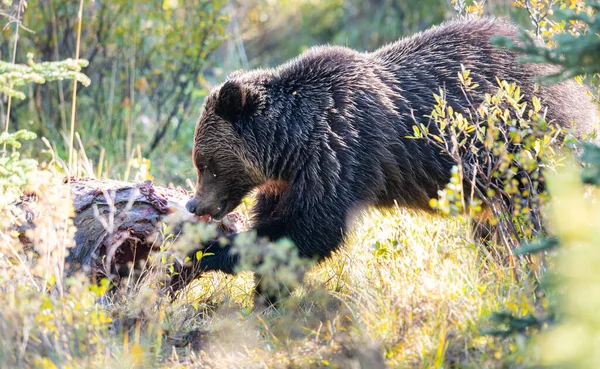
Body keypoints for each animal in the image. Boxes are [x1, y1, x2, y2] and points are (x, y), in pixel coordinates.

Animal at [173, 18, 596, 294]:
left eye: (205, 164)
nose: (195, 204)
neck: (294, 144)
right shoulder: (290, 177)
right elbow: (283, 227)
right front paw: (267, 293)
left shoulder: (343, 151)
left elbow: (310, 228)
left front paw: (206, 251)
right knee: (493, 229)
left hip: (521, 146)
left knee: (533, 217)